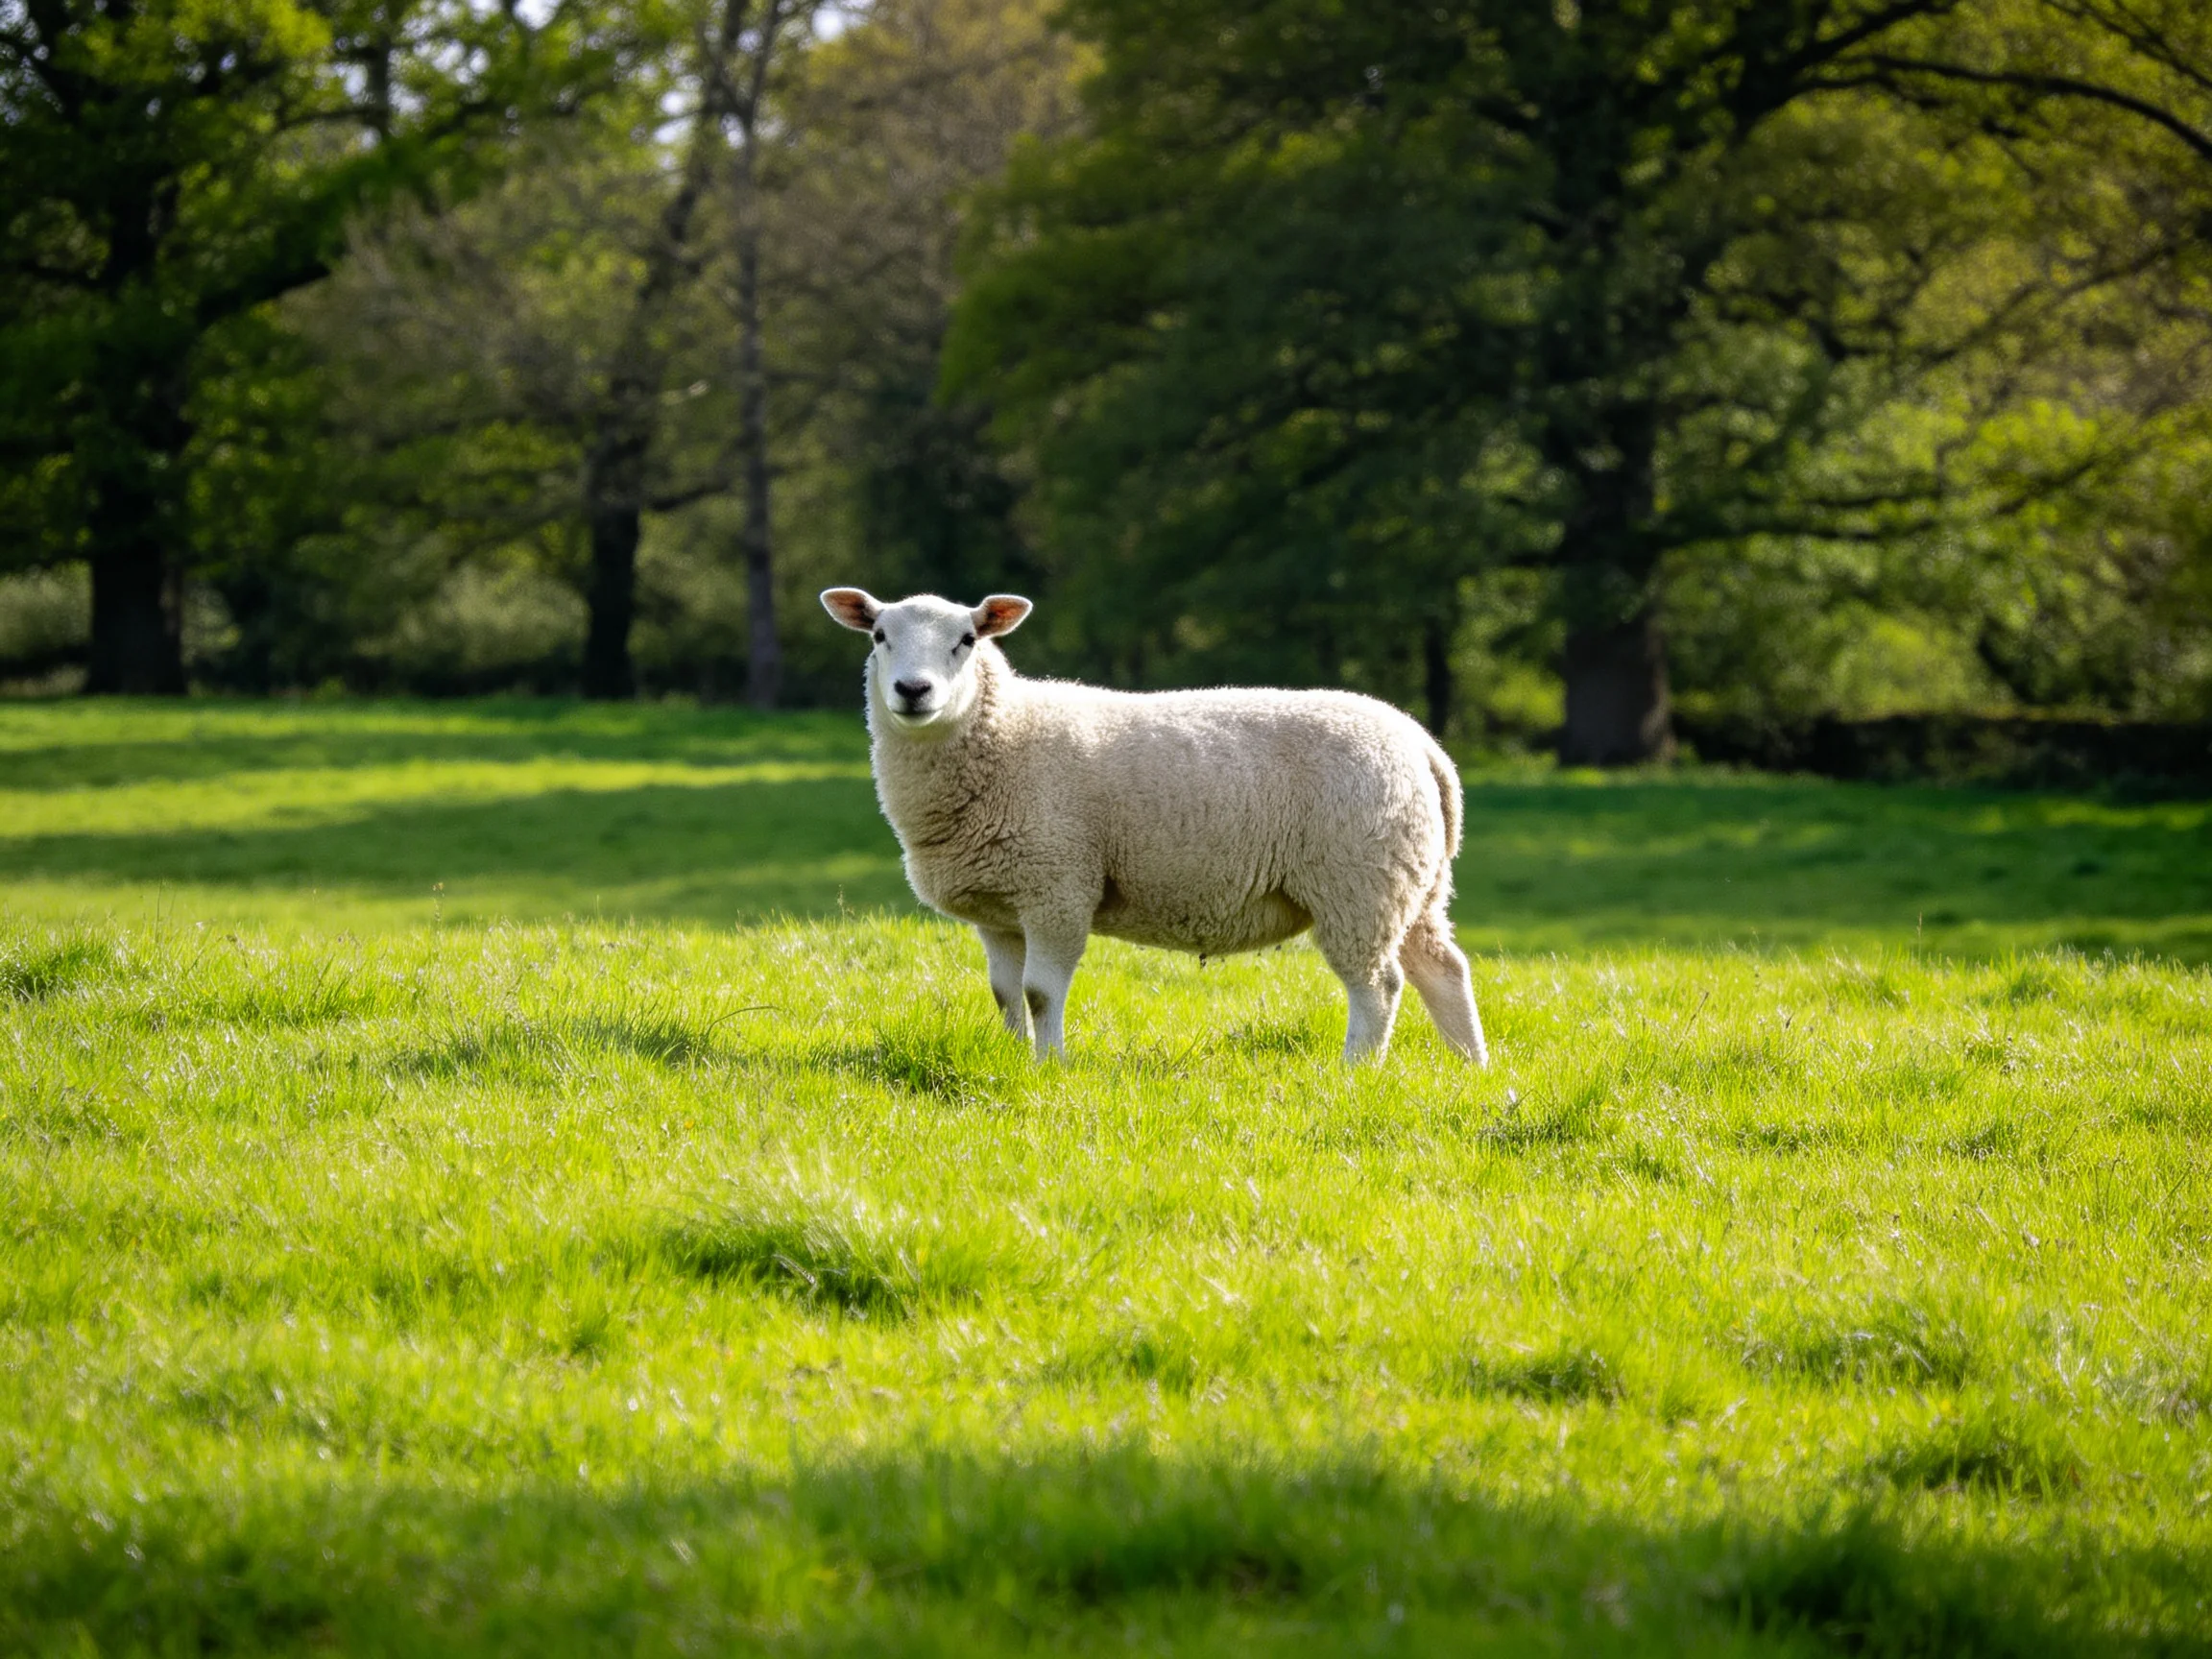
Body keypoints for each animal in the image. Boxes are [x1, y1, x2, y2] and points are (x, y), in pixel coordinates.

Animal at [820, 587, 1487, 1067]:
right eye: (879, 636)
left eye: (966, 640)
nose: (913, 690)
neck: (1005, 734)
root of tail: (1421, 744)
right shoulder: (1000, 908)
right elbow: (1006, 995)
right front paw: (1012, 1059)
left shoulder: (1058, 887)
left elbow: (1040, 993)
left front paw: (1049, 1067)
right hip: (1413, 883)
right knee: (1443, 969)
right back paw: (1470, 1069)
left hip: (1358, 884)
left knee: (1380, 985)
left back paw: (1356, 1072)